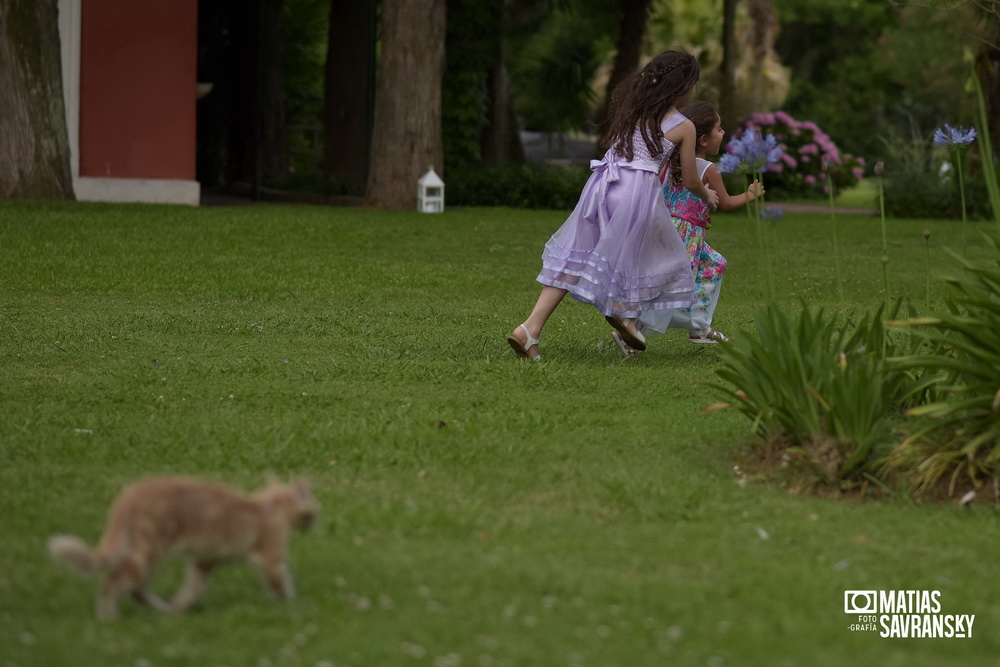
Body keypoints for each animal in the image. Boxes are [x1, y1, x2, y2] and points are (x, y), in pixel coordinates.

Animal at [47, 478, 316, 620]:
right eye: (314, 511)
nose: (314, 523)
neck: (270, 505)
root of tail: (131, 496)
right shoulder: (269, 555)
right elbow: (280, 580)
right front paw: (292, 605)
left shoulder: (205, 560)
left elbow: (192, 587)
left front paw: (180, 605)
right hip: (151, 548)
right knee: (117, 579)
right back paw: (109, 616)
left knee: (135, 586)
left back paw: (163, 609)